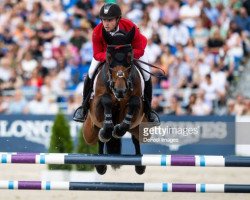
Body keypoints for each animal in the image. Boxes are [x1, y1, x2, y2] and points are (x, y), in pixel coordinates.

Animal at [83, 27, 147, 174]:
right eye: (108, 57)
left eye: (129, 57)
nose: (120, 90)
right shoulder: (96, 105)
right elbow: (105, 100)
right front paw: (107, 132)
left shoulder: (138, 105)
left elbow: (134, 102)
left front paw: (118, 130)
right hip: (89, 131)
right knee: (99, 138)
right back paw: (100, 164)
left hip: (141, 129)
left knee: (136, 140)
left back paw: (140, 165)